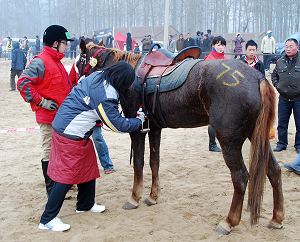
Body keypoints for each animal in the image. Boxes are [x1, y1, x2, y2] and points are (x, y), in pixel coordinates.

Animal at [77, 40, 284, 235]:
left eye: (80, 61)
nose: (76, 81)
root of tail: (257, 78)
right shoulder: (154, 128)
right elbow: (154, 162)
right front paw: (152, 196)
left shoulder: (137, 129)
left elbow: (138, 162)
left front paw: (134, 197)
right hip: (256, 136)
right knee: (273, 170)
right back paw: (277, 218)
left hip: (229, 141)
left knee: (240, 177)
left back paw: (229, 222)